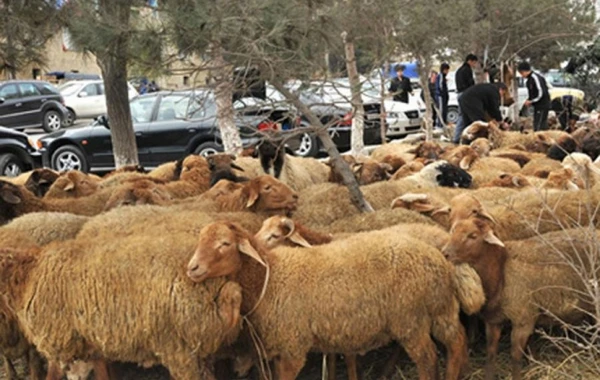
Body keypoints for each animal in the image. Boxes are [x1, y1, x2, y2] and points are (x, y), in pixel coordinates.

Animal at [0, 233, 245, 378]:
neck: (29, 276)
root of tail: (223, 284)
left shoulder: (59, 343)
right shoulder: (92, 344)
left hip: (178, 347)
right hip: (201, 345)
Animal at [188, 221, 478, 378]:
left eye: (225, 243)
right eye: (200, 240)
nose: (192, 268)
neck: (269, 279)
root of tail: (439, 258)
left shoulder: (293, 347)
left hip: (411, 320)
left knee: (428, 359)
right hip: (442, 309)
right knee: (458, 341)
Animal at [442, 217, 592, 380]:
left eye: (473, 236)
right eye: (453, 231)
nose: (445, 253)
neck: (501, 271)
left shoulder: (523, 320)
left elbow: (515, 357)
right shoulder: (493, 320)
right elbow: (491, 353)